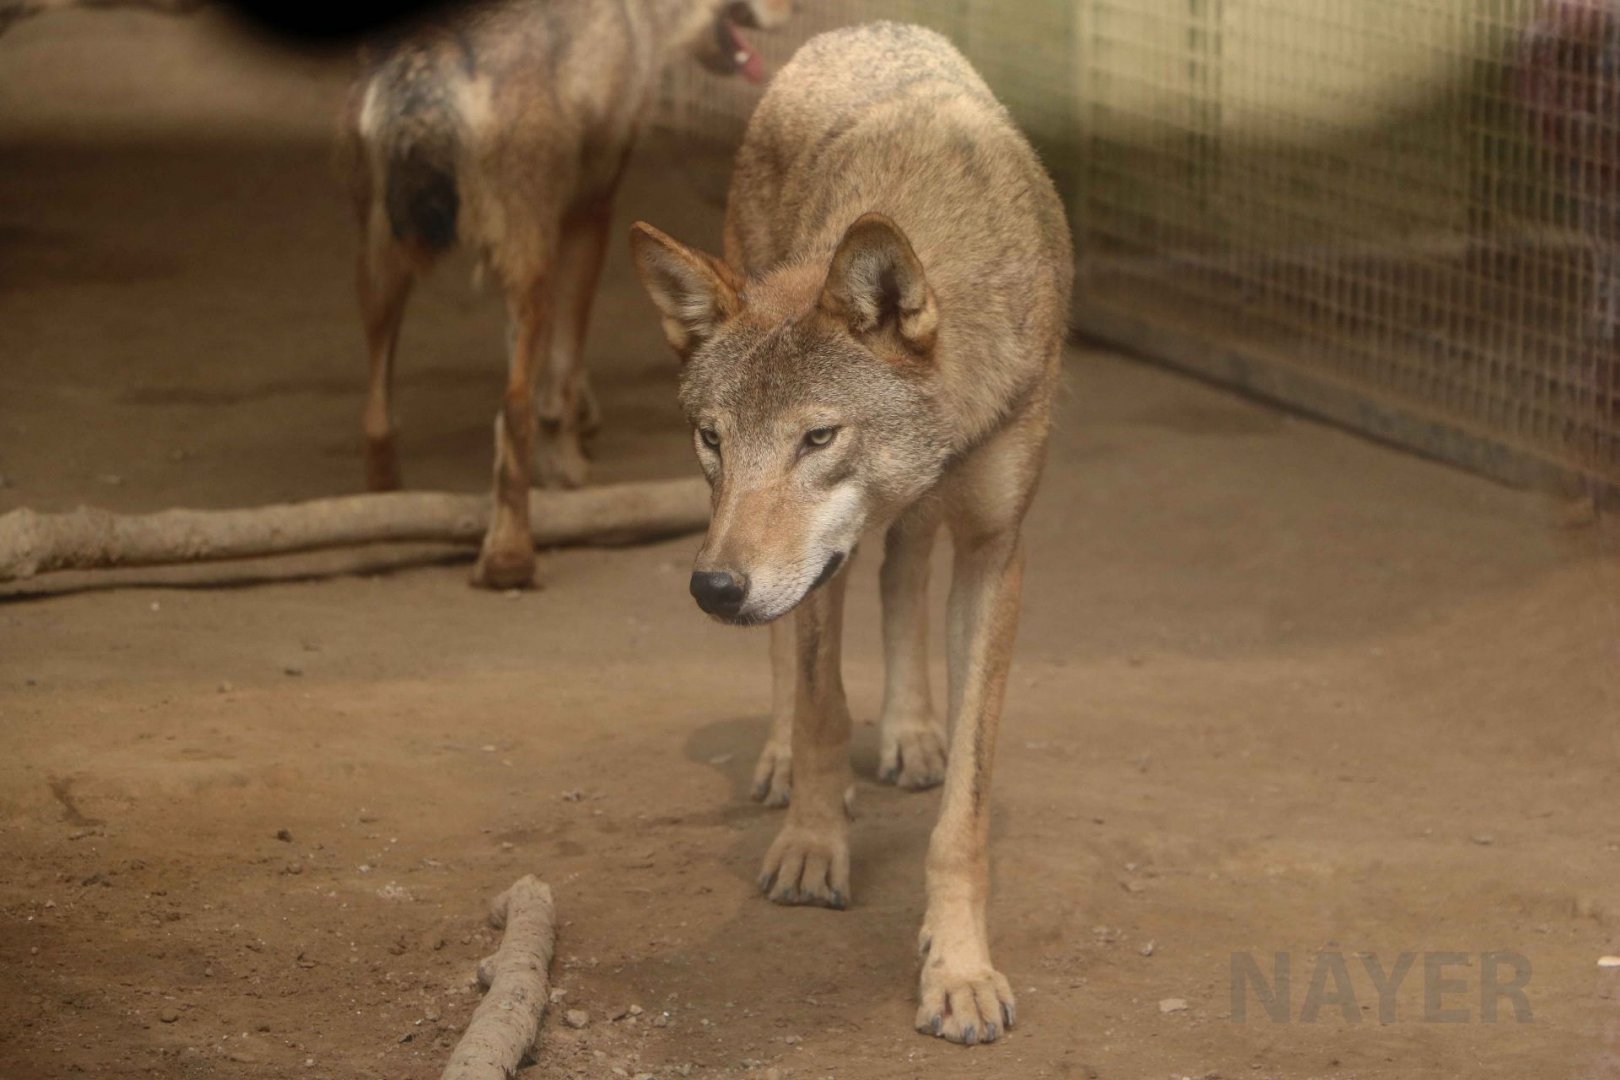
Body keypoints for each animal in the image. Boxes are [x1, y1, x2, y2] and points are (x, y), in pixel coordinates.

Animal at [341, 0, 791, 589]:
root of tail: (435, 42)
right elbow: (561, 371)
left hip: (384, 261)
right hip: (521, 260)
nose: (794, 9)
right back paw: (508, 558)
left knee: (375, 414)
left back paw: (384, 512)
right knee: (512, 409)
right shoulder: (590, 213)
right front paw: (570, 465)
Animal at [631, 22, 1073, 1045]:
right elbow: (824, 704)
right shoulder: (805, 568)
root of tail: (858, 28)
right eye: (712, 438)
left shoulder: (997, 554)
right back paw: (783, 761)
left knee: (901, 574)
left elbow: (964, 813)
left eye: (819, 437)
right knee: (799, 654)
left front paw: (958, 971)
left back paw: (910, 733)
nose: (712, 589)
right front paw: (810, 843)